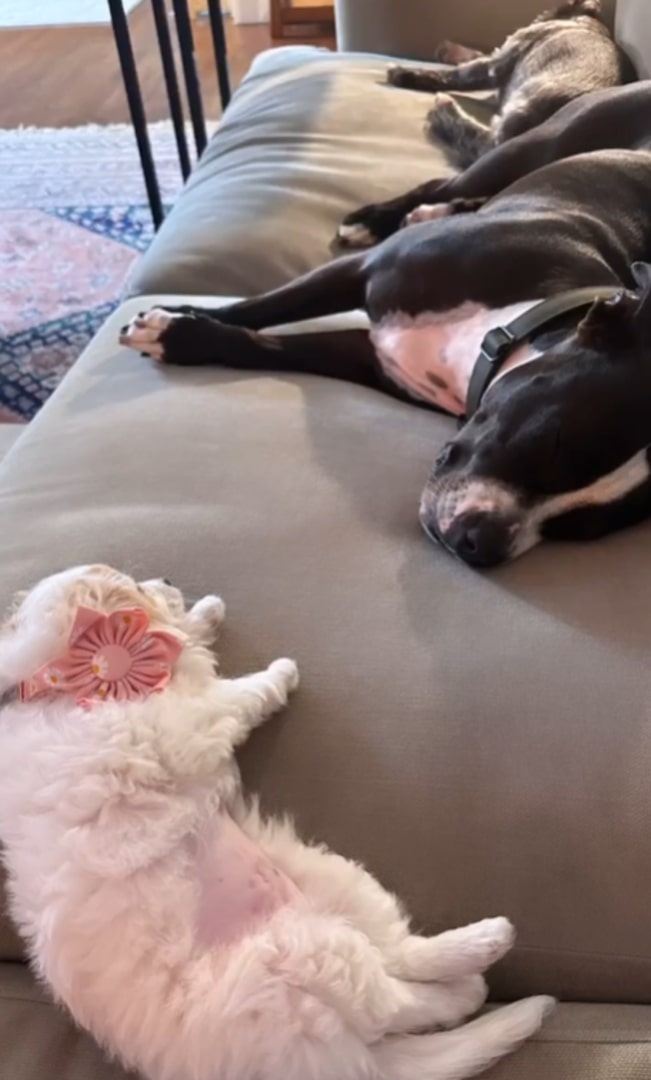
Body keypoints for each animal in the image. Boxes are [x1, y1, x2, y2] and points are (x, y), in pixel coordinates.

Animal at [0, 565, 552, 1080]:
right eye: (131, 581)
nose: (170, 579)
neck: (63, 681)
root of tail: (352, 1060)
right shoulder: (183, 726)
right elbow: (235, 694)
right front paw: (278, 671)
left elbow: (189, 649)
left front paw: (205, 612)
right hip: (298, 963)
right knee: (392, 1002)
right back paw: (475, 976)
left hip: (331, 881)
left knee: (400, 956)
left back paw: (481, 948)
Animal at [119, 82, 651, 565]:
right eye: (549, 442)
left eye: (582, 527)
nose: (483, 545)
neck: (507, 330)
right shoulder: (360, 273)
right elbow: (261, 310)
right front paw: (174, 324)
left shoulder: (366, 356)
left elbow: (260, 345)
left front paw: (183, 333)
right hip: (538, 146)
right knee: (442, 183)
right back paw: (388, 216)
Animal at [384, 0, 634, 168]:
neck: (585, 21)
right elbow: (473, 56)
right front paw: (447, 50)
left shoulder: (498, 63)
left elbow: (458, 74)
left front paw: (403, 73)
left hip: (520, 110)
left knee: (482, 146)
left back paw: (444, 110)